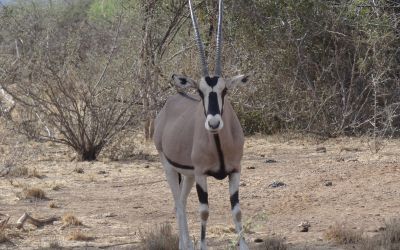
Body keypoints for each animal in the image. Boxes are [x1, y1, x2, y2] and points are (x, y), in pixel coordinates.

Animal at [153, 0, 250, 249]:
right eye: (199, 91)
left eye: (224, 90)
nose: (214, 122)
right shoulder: (201, 174)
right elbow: (204, 212)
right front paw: (202, 245)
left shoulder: (235, 170)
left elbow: (237, 211)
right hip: (169, 167)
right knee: (178, 204)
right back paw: (185, 244)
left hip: (186, 175)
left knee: (181, 201)